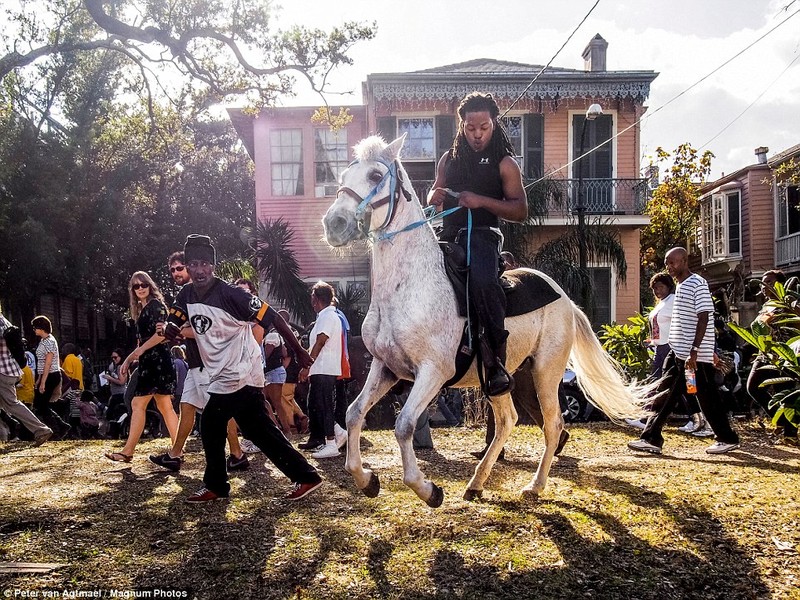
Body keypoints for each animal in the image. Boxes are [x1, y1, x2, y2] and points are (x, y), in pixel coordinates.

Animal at [322, 135, 648, 506]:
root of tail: (566, 299)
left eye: (376, 175)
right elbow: (353, 413)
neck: (410, 285)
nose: (334, 225)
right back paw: (477, 483)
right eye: (344, 174)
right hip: (504, 376)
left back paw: (534, 486)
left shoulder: (434, 371)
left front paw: (428, 489)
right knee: (508, 420)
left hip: (545, 372)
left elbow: (404, 425)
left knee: (552, 425)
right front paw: (366, 479)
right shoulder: (386, 367)